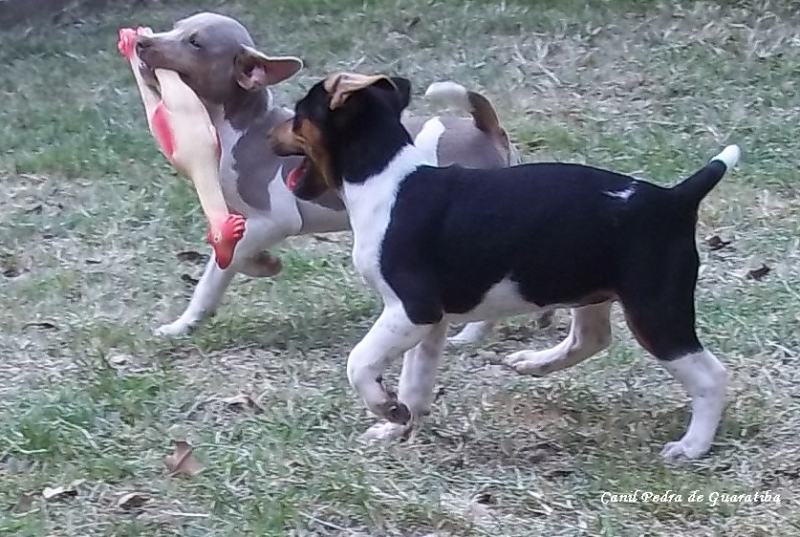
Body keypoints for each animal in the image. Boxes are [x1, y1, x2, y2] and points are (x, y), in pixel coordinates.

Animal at [131, 12, 548, 342]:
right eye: (176, 26)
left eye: (195, 43)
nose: (140, 41)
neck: (242, 126)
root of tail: (484, 129)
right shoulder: (245, 219)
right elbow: (232, 256)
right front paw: (264, 264)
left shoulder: (276, 219)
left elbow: (217, 271)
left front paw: (183, 324)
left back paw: (473, 335)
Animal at [270, 69, 744, 458]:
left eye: (298, 115)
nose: (271, 132)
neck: (385, 178)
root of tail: (674, 198)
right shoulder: (429, 323)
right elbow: (415, 382)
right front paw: (398, 424)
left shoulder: (412, 309)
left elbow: (359, 361)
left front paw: (384, 407)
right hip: (591, 290)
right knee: (590, 339)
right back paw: (535, 362)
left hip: (654, 311)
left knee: (711, 376)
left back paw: (693, 446)